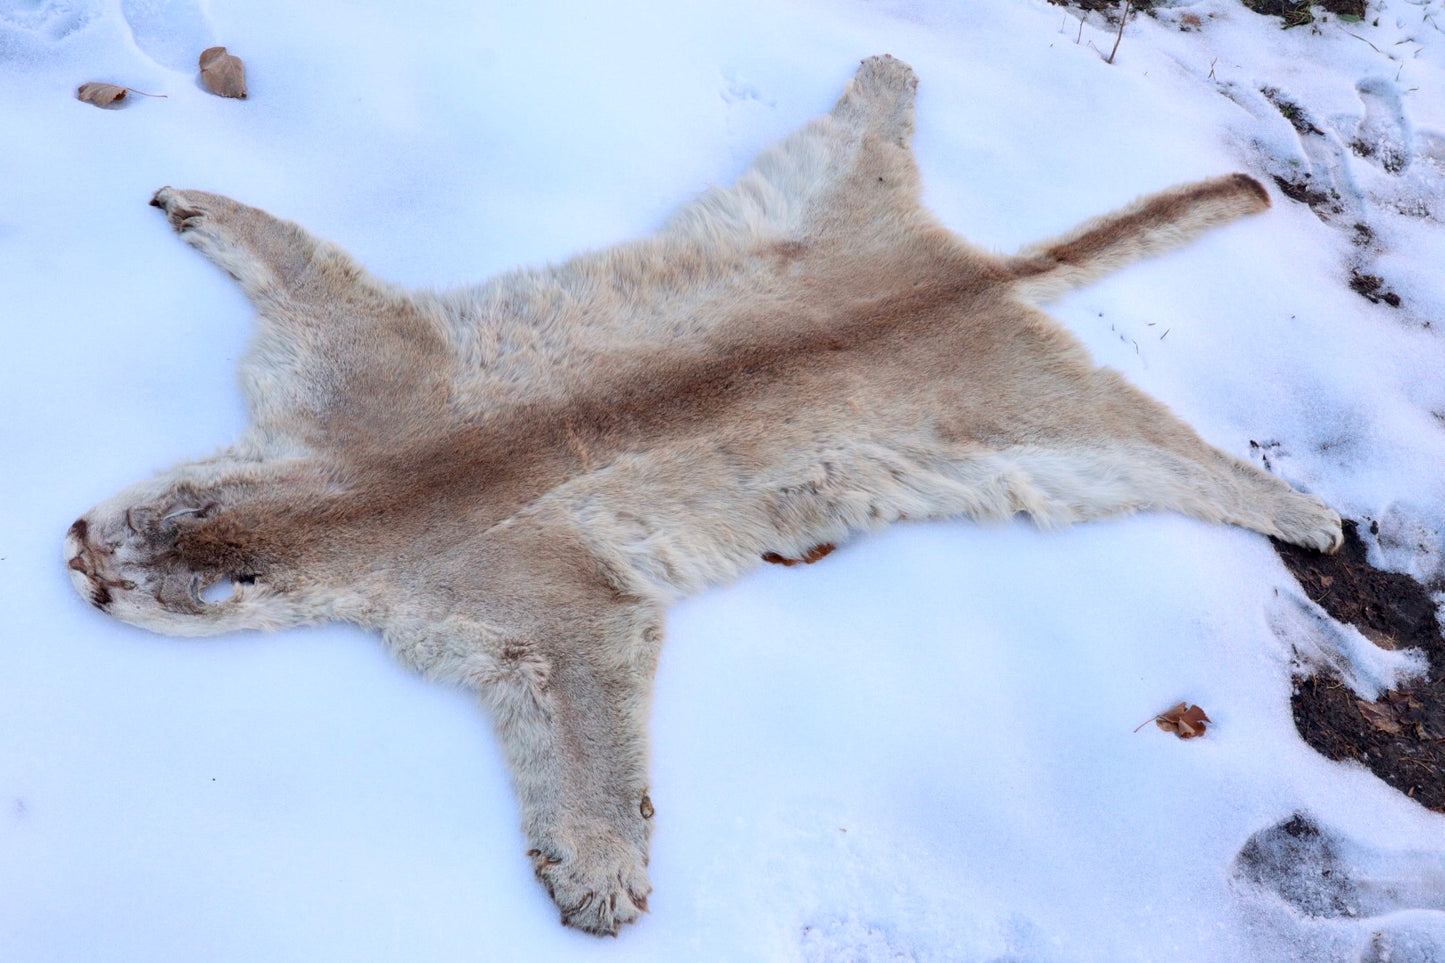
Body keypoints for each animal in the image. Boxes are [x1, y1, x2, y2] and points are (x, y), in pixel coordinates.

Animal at [66, 55, 1341, 934]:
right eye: (141, 526)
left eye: (171, 588)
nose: (75, 561)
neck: (355, 499)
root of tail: (977, 277)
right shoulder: (346, 373)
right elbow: (296, 256)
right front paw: (197, 200)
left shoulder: (545, 591)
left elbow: (601, 738)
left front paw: (601, 874)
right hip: (818, 196)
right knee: (864, 135)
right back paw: (888, 71)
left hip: (1052, 436)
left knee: (1175, 455)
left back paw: (1307, 511)